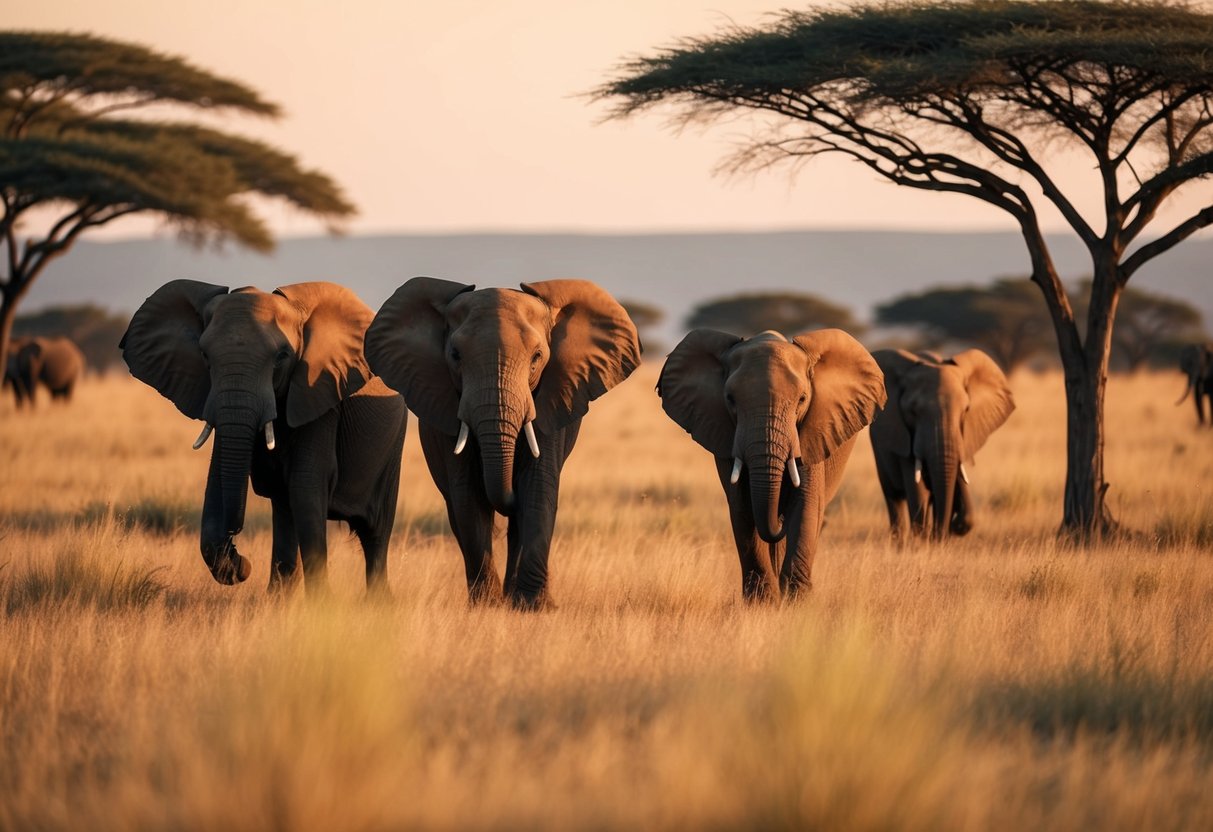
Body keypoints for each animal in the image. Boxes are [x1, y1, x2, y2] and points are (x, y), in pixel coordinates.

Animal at [121, 280, 407, 594]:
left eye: (281, 357)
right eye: (205, 356)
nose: (240, 557)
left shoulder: (319, 394)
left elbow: (306, 486)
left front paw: (321, 604)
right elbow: (224, 482)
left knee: (374, 532)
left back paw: (378, 601)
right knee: (285, 506)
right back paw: (279, 596)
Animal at [365, 277, 640, 610]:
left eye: (537, 358)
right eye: (455, 356)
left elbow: (538, 488)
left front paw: (535, 607)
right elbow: (468, 495)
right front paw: (487, 606)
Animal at [657, 329, 886, 601]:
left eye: (802, 399)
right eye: (730, 400)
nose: (779, 522)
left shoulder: (809, 434)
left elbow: (806, 502)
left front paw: (798, 602)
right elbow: (743, 505)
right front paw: (761, 602)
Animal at [869, 349, 1014, 541]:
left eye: (966, 410)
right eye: (913, 412)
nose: (952, 527)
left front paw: (935, 542)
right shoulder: (905, 439)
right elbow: (918, 492)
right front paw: (923, 542)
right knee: (894, 500)